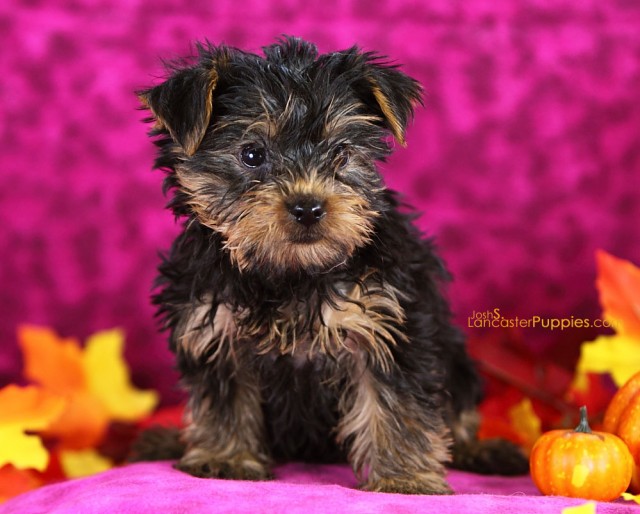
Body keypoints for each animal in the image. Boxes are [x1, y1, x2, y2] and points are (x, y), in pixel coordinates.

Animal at [134, 36, 524, 492]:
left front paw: (405, 478)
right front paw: (225, 457)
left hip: (457, 364)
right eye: (252, 154)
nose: (308, 207)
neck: (290, 273)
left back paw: (480, 450)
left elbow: (397, 405)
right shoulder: (213, 327)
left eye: (341, 152)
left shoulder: (386, 321)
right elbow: (224, 397)